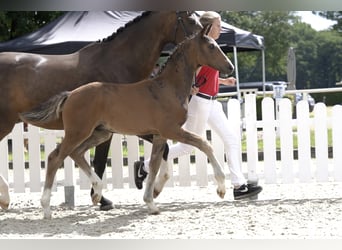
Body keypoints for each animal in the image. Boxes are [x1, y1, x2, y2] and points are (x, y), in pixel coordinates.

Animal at [20, 24, 235, 218]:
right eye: (211, 46)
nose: (230, 67)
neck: (167, 88)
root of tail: (70, 94)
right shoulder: (171, 130)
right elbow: (204, 144)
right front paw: (221, 188)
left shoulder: (159, 136)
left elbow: (155, 166)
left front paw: (151, 202)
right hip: (78, 132)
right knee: (55, 157)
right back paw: (47, 208)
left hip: (100, 133)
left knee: (76, 153)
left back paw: (97, 193)